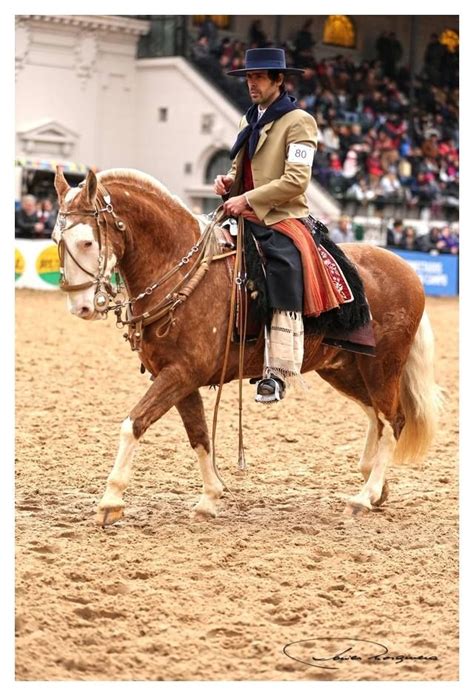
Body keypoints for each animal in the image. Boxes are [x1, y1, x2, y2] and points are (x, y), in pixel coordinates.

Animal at [53, 170, 442, 528]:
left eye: (86, 242)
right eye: (57, 239)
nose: (81, 306)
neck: (181, 269)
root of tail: (406, 269)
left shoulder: (181, 374)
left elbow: (133, 424)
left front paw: (110, 500)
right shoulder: (178, 378)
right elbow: (199, 436)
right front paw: (210, 498)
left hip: (383, 366)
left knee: (393, 420)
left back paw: (365, 495)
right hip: (344, 368)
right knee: (376, 416)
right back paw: (375, 485)